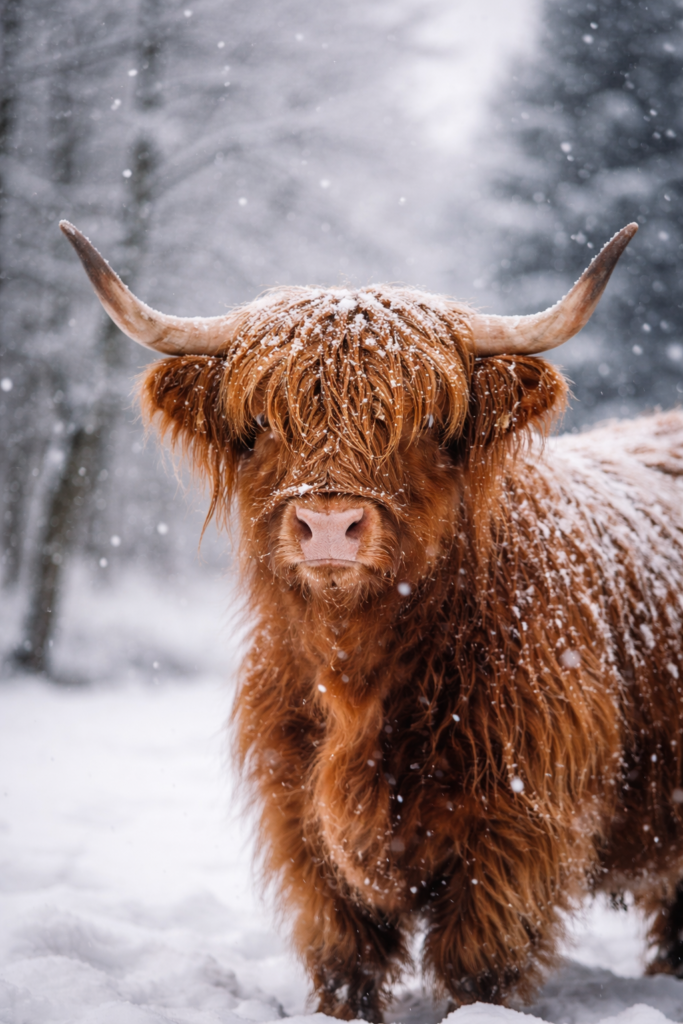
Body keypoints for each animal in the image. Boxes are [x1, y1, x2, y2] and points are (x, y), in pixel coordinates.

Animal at [61, 219, 683, 1021]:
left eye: (424, 423)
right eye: (262, 424)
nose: (329, 524)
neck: (355, 676)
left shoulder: (518, 825)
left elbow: (478, 964)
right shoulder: (299, 821)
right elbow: (342, 953)